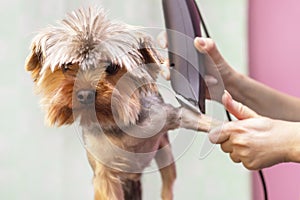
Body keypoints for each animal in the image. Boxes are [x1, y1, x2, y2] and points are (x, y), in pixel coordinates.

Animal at [25, 6, 209, 200]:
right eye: (66, 66)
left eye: (112, 67)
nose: (85, 94)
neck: (115, 124)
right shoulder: (104, 173)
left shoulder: (163, 116)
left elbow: (191, 116)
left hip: (165, 153)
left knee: (168, 182)